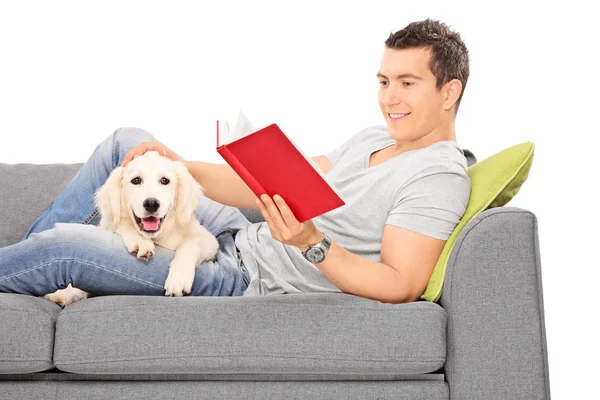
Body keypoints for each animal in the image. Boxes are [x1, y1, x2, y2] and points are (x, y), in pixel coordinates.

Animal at [42, 150, 220, 306]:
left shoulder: (209, 240)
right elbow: (121, 224)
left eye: (165, 181)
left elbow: (190, 244)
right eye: (136, 180)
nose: (151, 204)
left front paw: (179, 278)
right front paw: (140, 241)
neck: (158, 237)